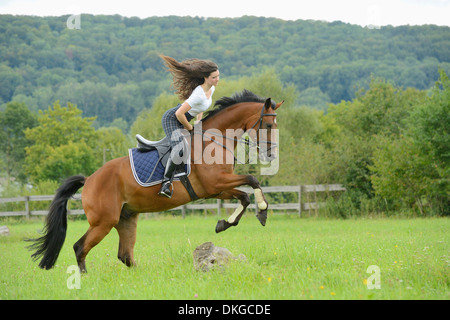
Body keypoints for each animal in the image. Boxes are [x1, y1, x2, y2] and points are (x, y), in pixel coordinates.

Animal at [28, 89, 284, 272]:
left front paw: (227, 222)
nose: (271, 155)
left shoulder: (216, 189)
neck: (214, 140)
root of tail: (89, 179)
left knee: (125, 255)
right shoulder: (216, 184)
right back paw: (84, 278)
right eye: (268, 125)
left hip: (126, 219)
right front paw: (262, 211)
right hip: (103, 222)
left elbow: (244, 196)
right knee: (80, 247)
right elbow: (252, 180)